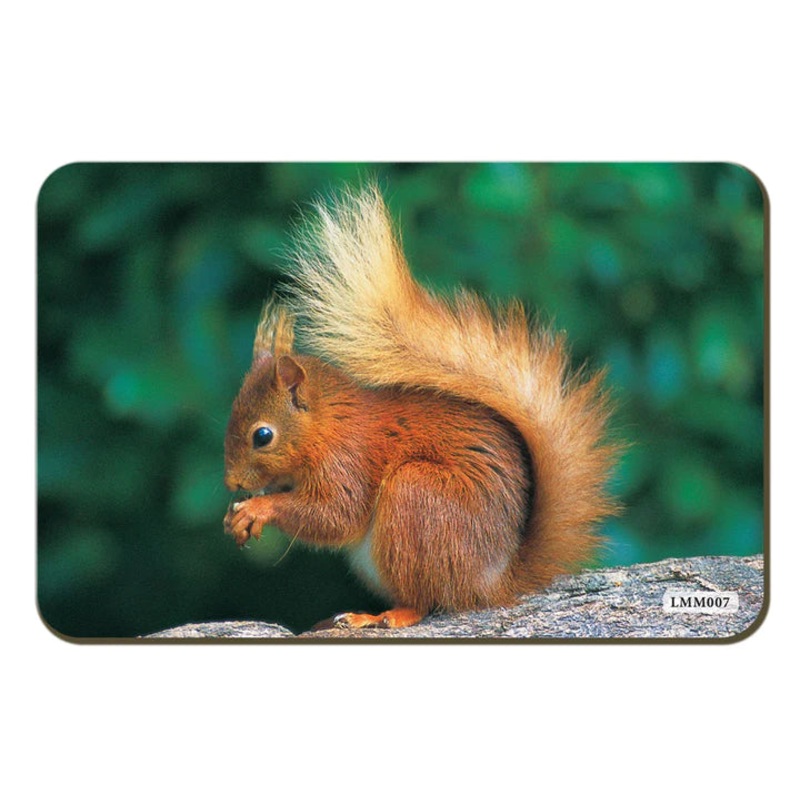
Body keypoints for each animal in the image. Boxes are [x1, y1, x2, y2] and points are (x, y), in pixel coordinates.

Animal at [223, 184, 620, 629]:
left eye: (262, 436)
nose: (232, 483)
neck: (328, 425)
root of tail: (490, 584)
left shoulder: (347, 461)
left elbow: (336, 515)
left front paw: (258, 508)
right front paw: (236, 516)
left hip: (416, 498)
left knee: (425, 601)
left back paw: (381, 616)